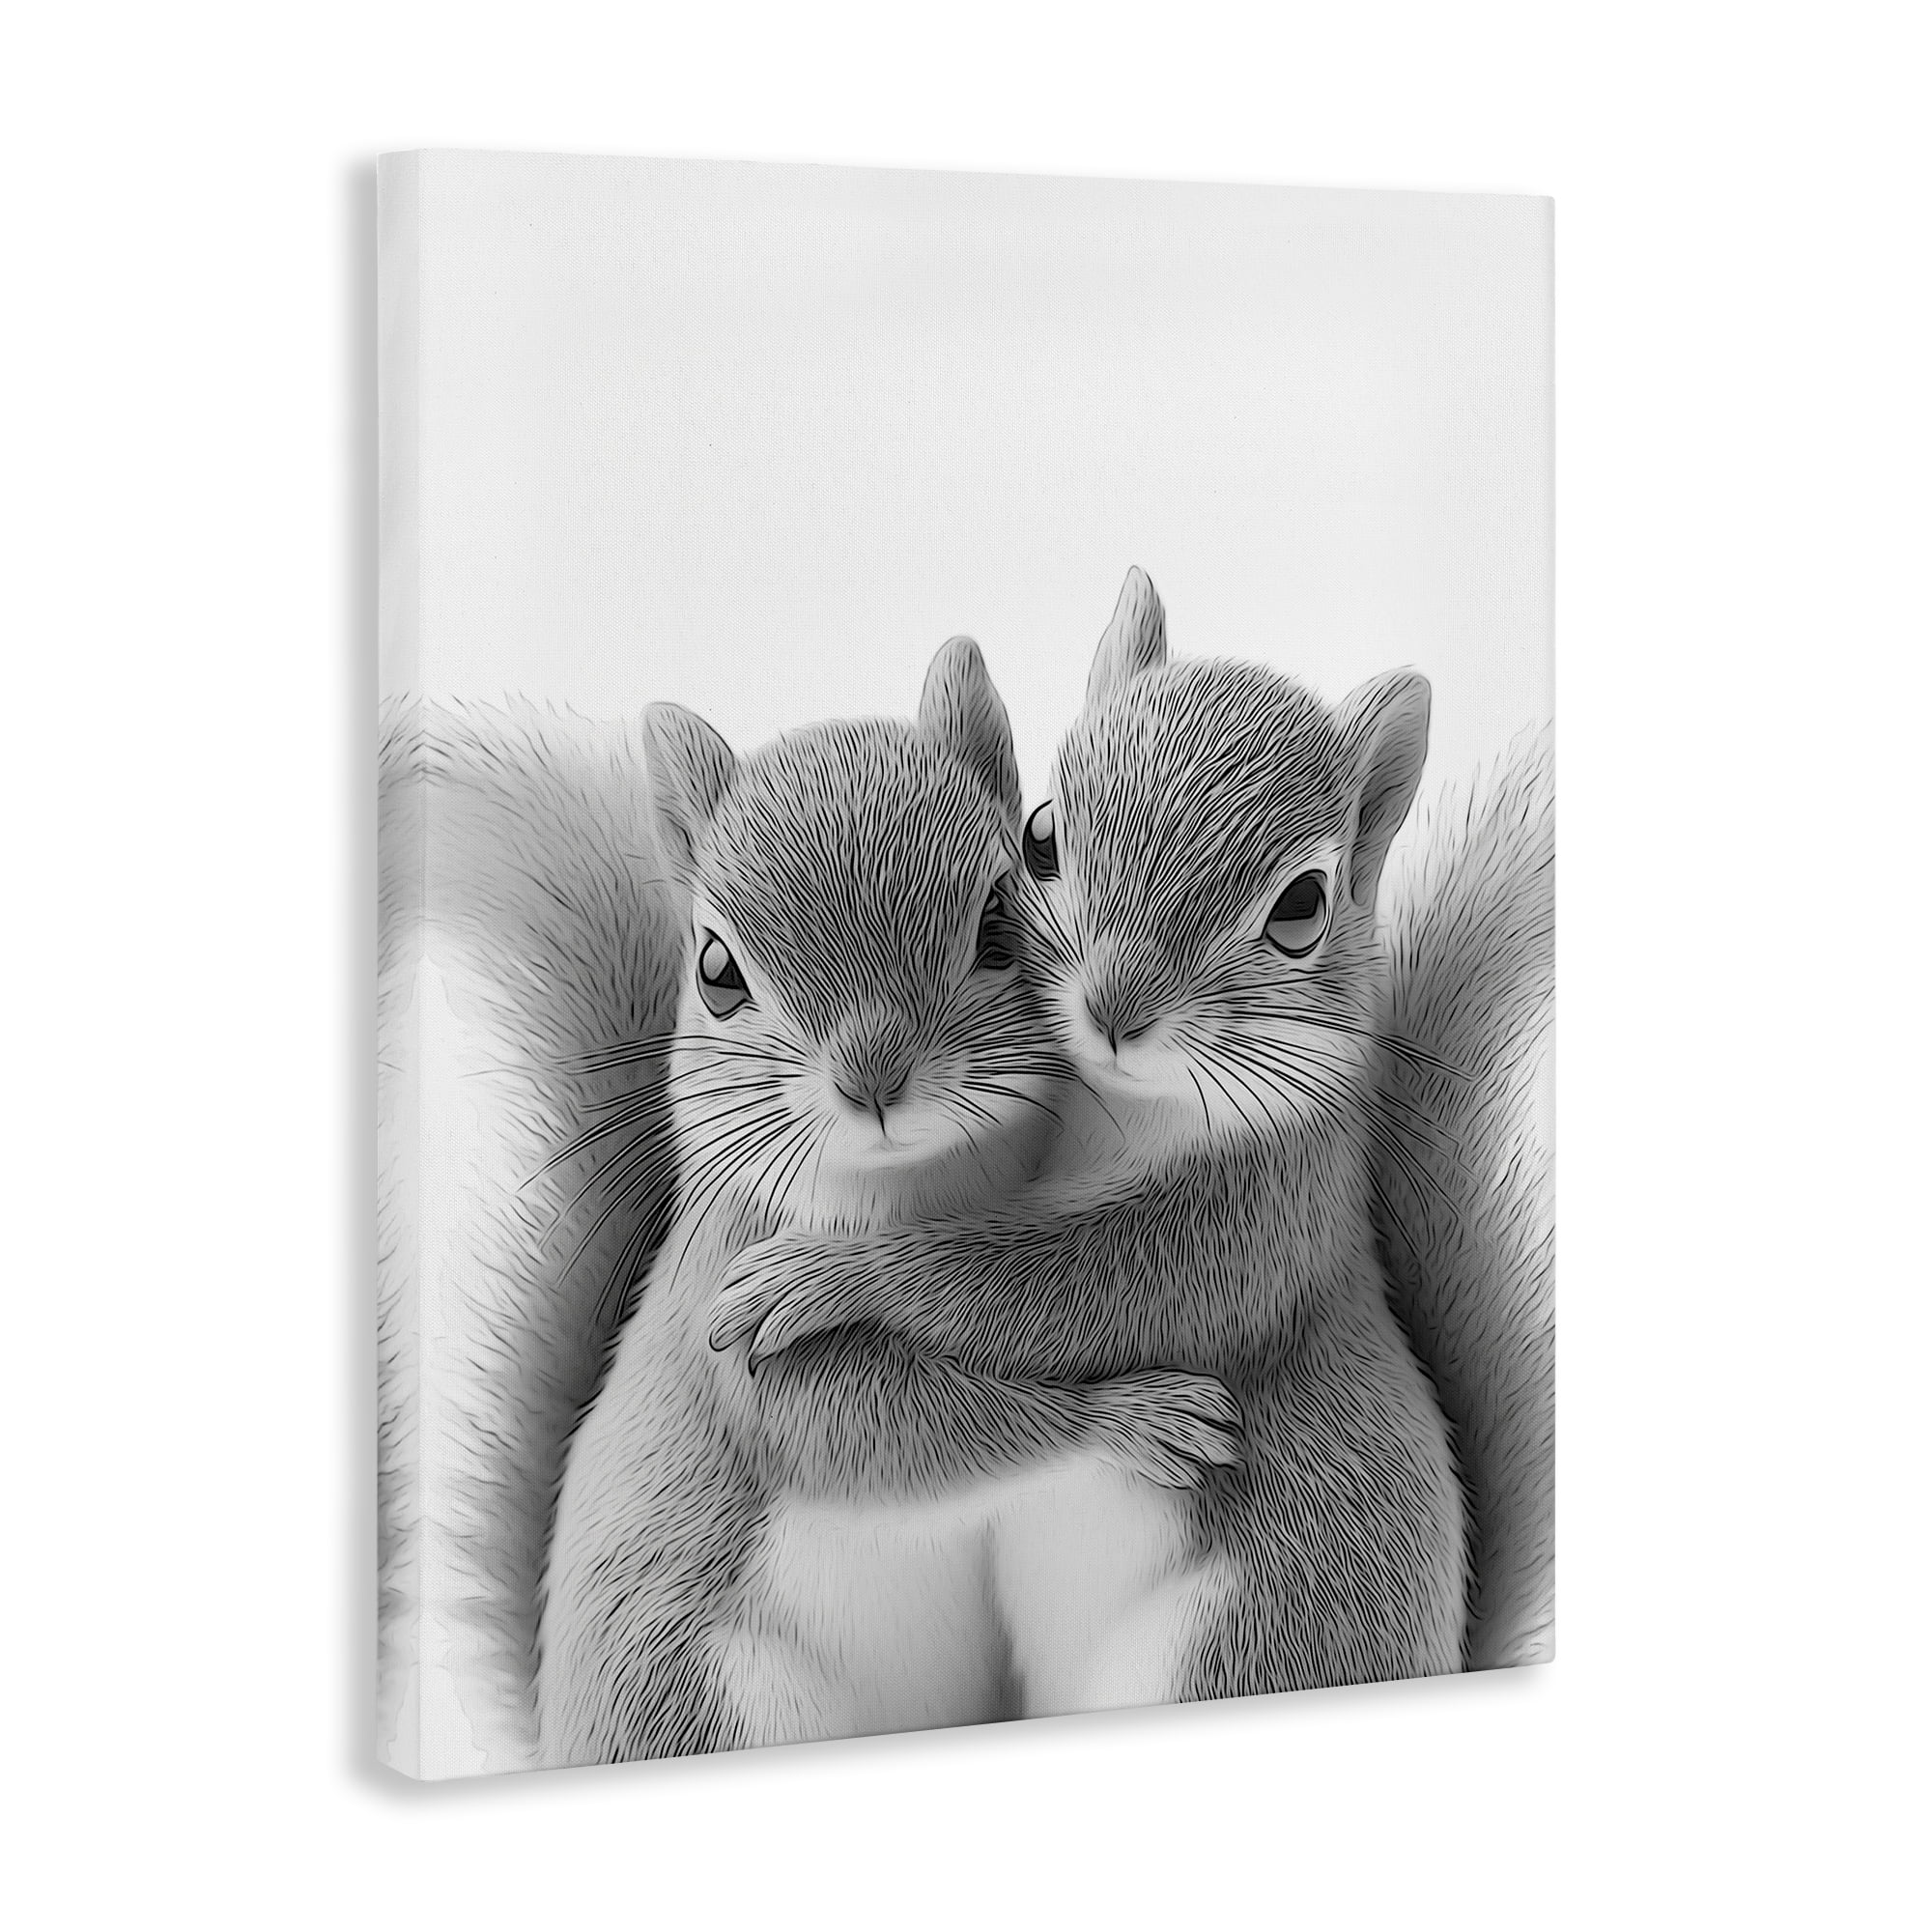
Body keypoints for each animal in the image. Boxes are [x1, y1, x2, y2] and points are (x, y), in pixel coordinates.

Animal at [534, 639, 1245, 1766]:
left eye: (999, 917)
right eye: (714, 968)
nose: (873, 1077)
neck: (924, 1186)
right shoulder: (724, 1302)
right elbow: (860, 1427)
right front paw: (1131, 1417)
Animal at [709, 568, 1552, 1707]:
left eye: (1303, 905)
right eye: (1040, 835)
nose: (1113, 1006)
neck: (1105, 1116)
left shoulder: (1260, 1219)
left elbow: (1072, 1289)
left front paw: (824, 1271)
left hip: (1230, 1653)